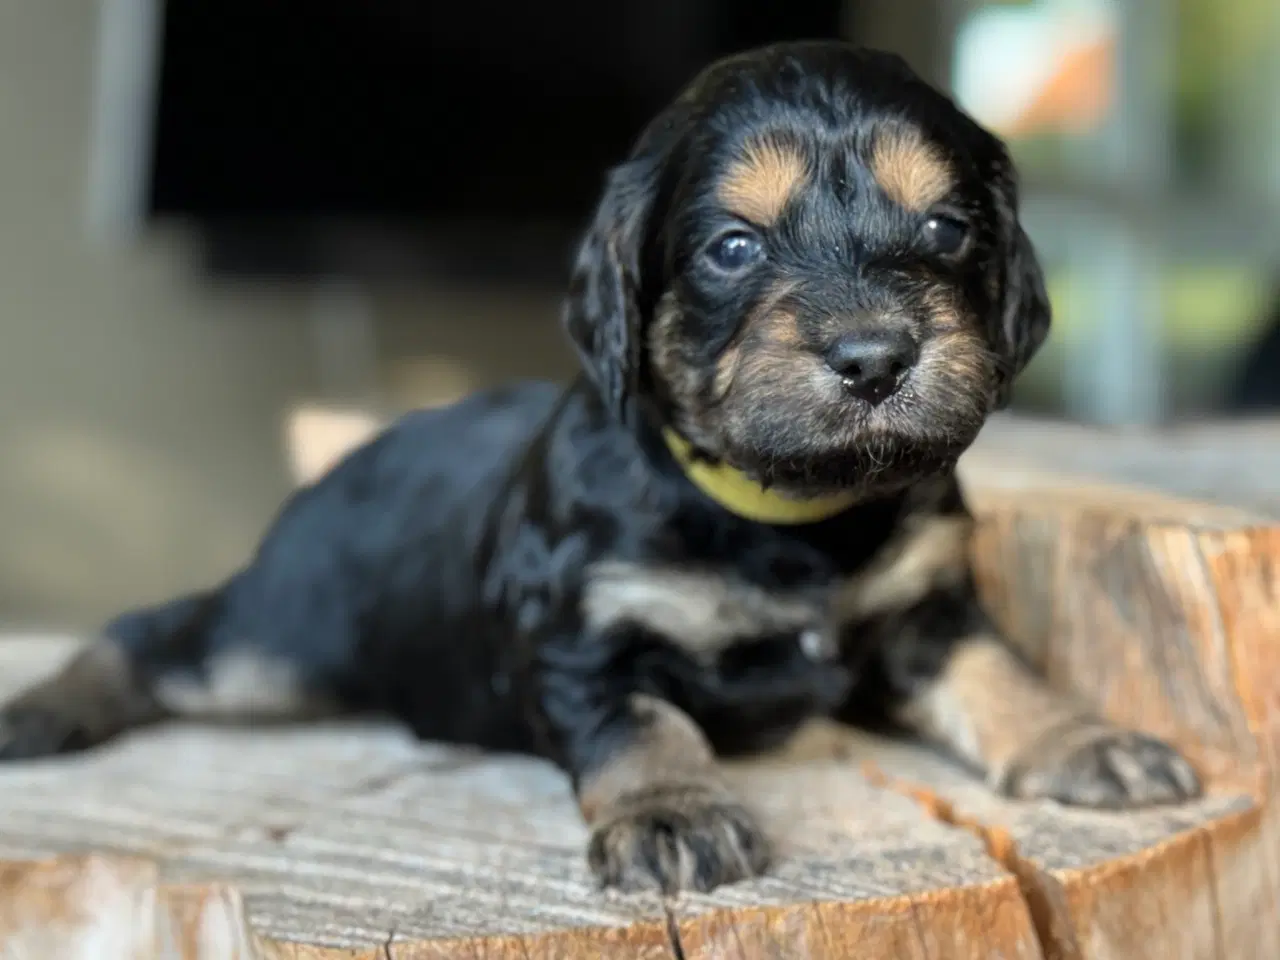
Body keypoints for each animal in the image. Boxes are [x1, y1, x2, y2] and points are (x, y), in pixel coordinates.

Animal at [2, 45, 1198, 901]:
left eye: (946, 228)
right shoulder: (582, 635)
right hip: (280, 639)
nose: (875, 358)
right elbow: (643, 722)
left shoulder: (924, 607)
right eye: (731, 247)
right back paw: (45, 712)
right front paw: (672, 813)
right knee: (156, 634)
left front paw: (1086, 741)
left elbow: (998, 670)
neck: (794, 515)